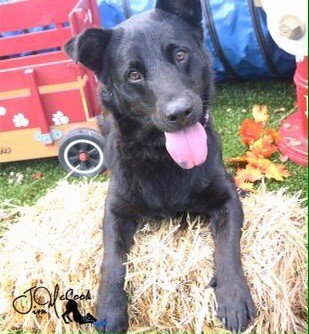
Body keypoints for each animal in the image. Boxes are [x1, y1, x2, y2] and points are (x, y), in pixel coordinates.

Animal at [64, 1, 255, 332]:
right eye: (134, 74)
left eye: (180, 55)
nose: (180, 113)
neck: (162, 156)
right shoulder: (115, 210)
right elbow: (111, 259)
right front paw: (110, 307)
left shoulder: (226, 198)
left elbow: (227, 246)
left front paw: (233, 295)